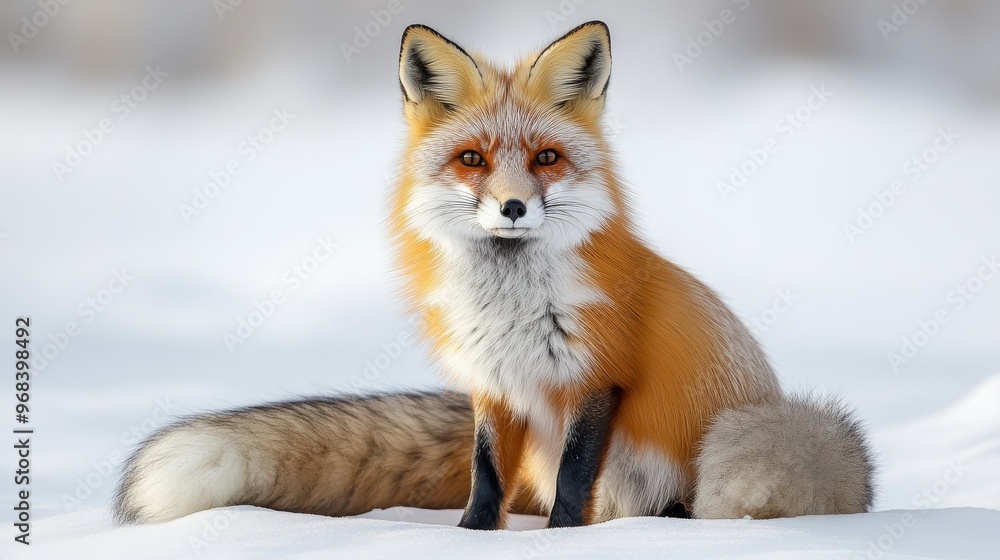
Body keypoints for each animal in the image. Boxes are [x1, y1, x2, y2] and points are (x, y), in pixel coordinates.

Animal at [114, 21, 874, 529]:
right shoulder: (493, 381)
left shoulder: (597, 376)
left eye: (545, 158)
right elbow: (486, 475)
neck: (510, 305)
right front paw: (472, 539)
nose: (512, 206)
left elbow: (573, 479)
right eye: (473, 158)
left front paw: (562, 540)